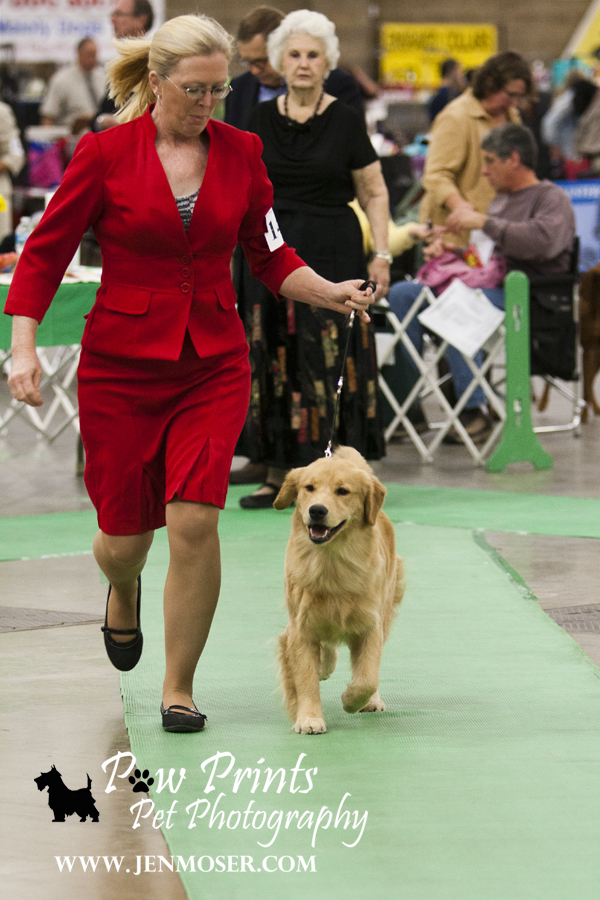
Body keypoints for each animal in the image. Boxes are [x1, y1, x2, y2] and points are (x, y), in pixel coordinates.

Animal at [274, 446, 406, 736]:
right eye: (309, 488)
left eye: (343, 491)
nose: (317, 510)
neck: (331, 562)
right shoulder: (299, 629)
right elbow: (305, 678)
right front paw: (309, 718)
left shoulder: (370, 626)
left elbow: (367, 676)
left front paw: (352, 699)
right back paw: (324, 666)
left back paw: (371, 700)